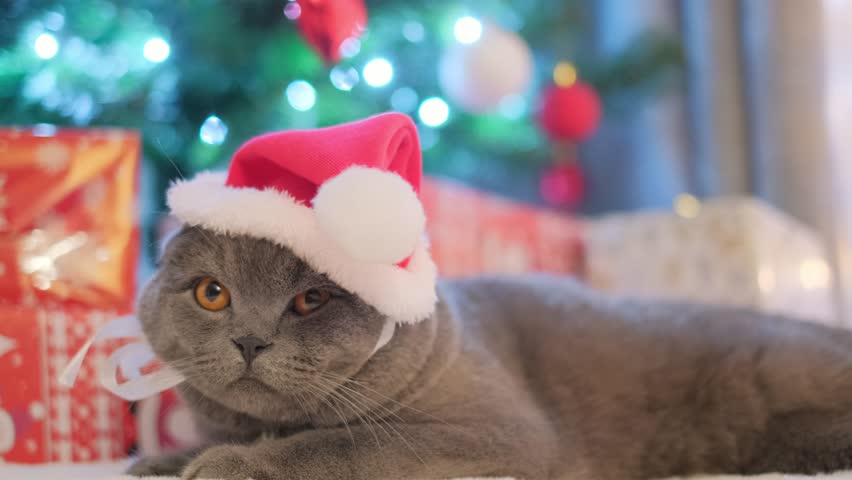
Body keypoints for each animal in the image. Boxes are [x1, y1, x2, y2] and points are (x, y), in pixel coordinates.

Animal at [130, 225, 852, 480]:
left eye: (311, 300)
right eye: (213, 293)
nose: (250, 339)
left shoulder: (498, 429)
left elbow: (343, 445)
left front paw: (230, 465)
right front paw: (161, 461)